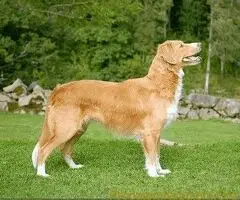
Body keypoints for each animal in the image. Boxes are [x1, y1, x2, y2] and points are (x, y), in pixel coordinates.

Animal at [31, 39, 201, 177]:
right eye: (181, 45)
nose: (200, 43)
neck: (159, 84)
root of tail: (59, 88)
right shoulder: (150, 132)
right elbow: (152, 156)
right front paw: (154, 175)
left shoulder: (156, 133)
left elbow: (156, 155)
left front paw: (160, 170)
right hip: (66, 129)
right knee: (43, 149)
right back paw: (42, 174)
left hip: (78, 129)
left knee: (64, 150)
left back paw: (74, 167)